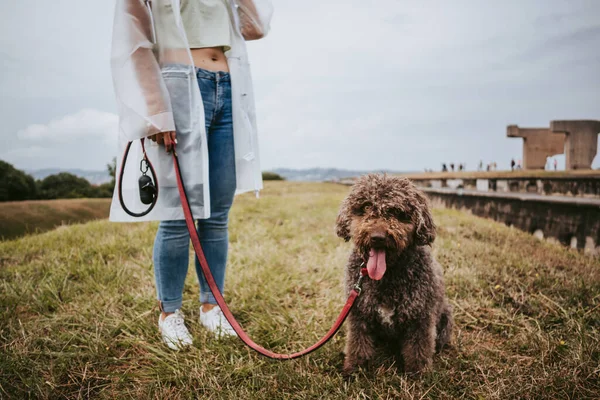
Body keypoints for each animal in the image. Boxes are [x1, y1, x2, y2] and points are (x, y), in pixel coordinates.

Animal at [336, 173, 452, 374]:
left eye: (398, 212)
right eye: (366, 206)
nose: (377, 237)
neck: (387, 275)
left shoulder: (420, 318)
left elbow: (418, 348)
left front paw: (418, 373)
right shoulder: (359, 314)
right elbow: (358, 343)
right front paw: (355, 369)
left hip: (445, 316)